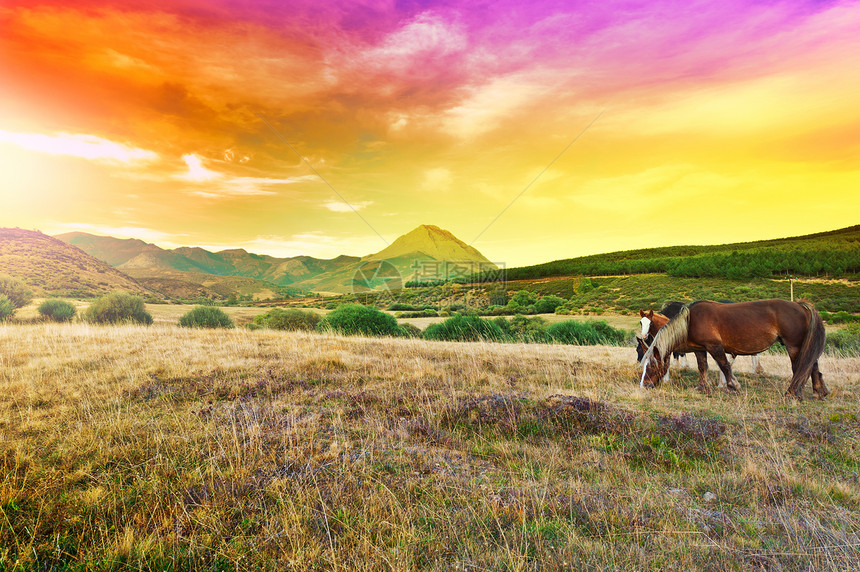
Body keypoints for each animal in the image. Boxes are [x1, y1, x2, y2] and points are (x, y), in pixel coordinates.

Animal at [640, 298, 828, 400]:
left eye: (652, 365)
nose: (644, 386)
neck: (690, 320)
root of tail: (801, 305)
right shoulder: (700, 348)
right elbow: (702, 367)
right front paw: (702, 387)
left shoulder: (714, 346)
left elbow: (724, 365)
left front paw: (732, 386)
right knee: (813, 366)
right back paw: (819, 392)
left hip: (794, 346)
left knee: (801, 367)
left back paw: (792, 393)